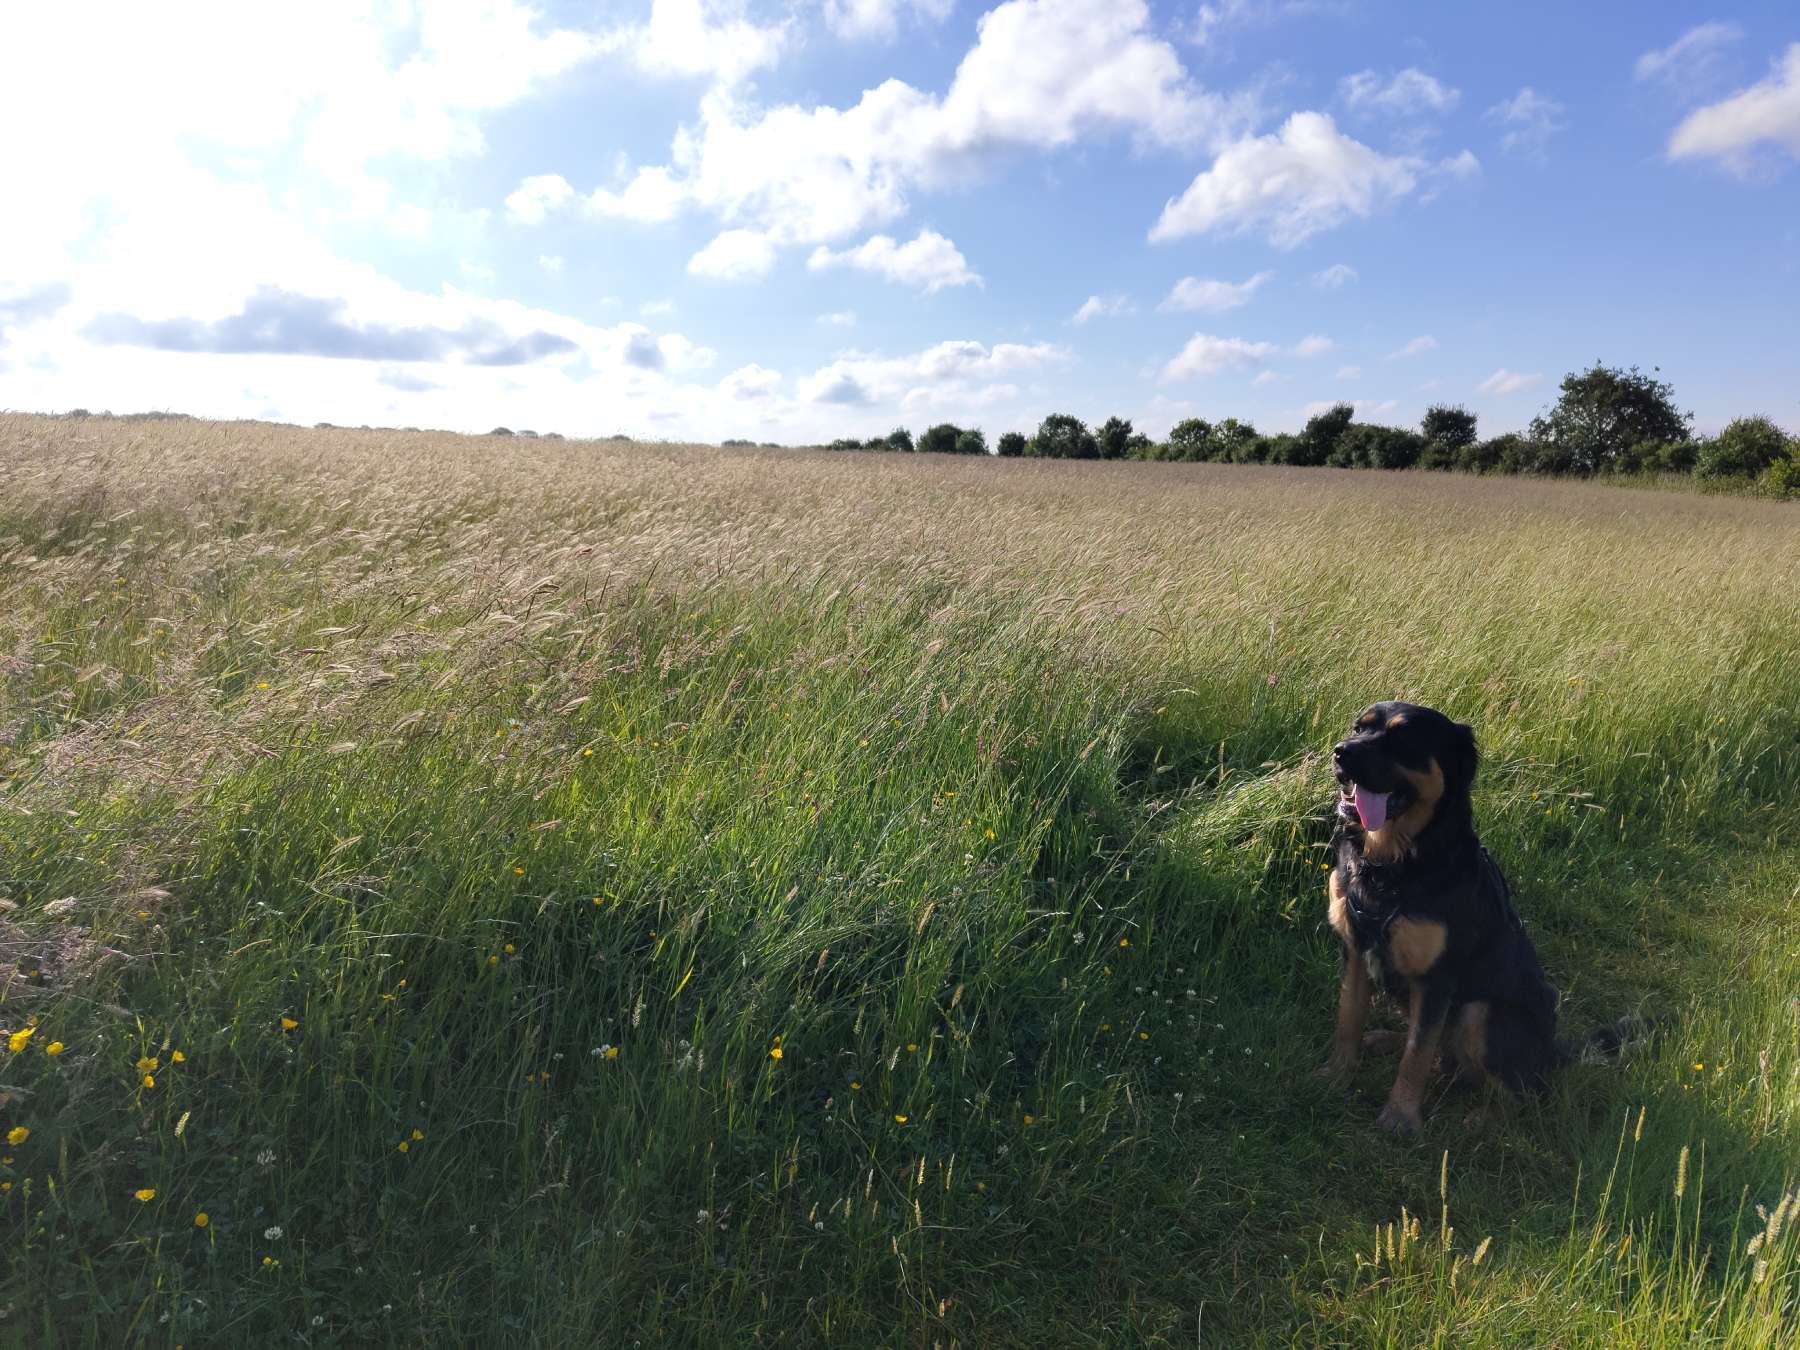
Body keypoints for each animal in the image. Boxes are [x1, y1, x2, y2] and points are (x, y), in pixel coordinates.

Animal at [1317, 702, 1569, 1137]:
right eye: (1359, 727)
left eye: (1403, 737)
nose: (1341, 752)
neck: (1391, 865)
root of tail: (1551, 1054)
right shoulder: (1354, 949)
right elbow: (1348, 1018)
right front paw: (1338, 1075)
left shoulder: (1437, 977)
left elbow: (1417, 1053)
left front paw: (1401, 1117)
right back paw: (1383, 1039)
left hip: (1480, 1012)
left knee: (1525, 1091)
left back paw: (1484, 1119)